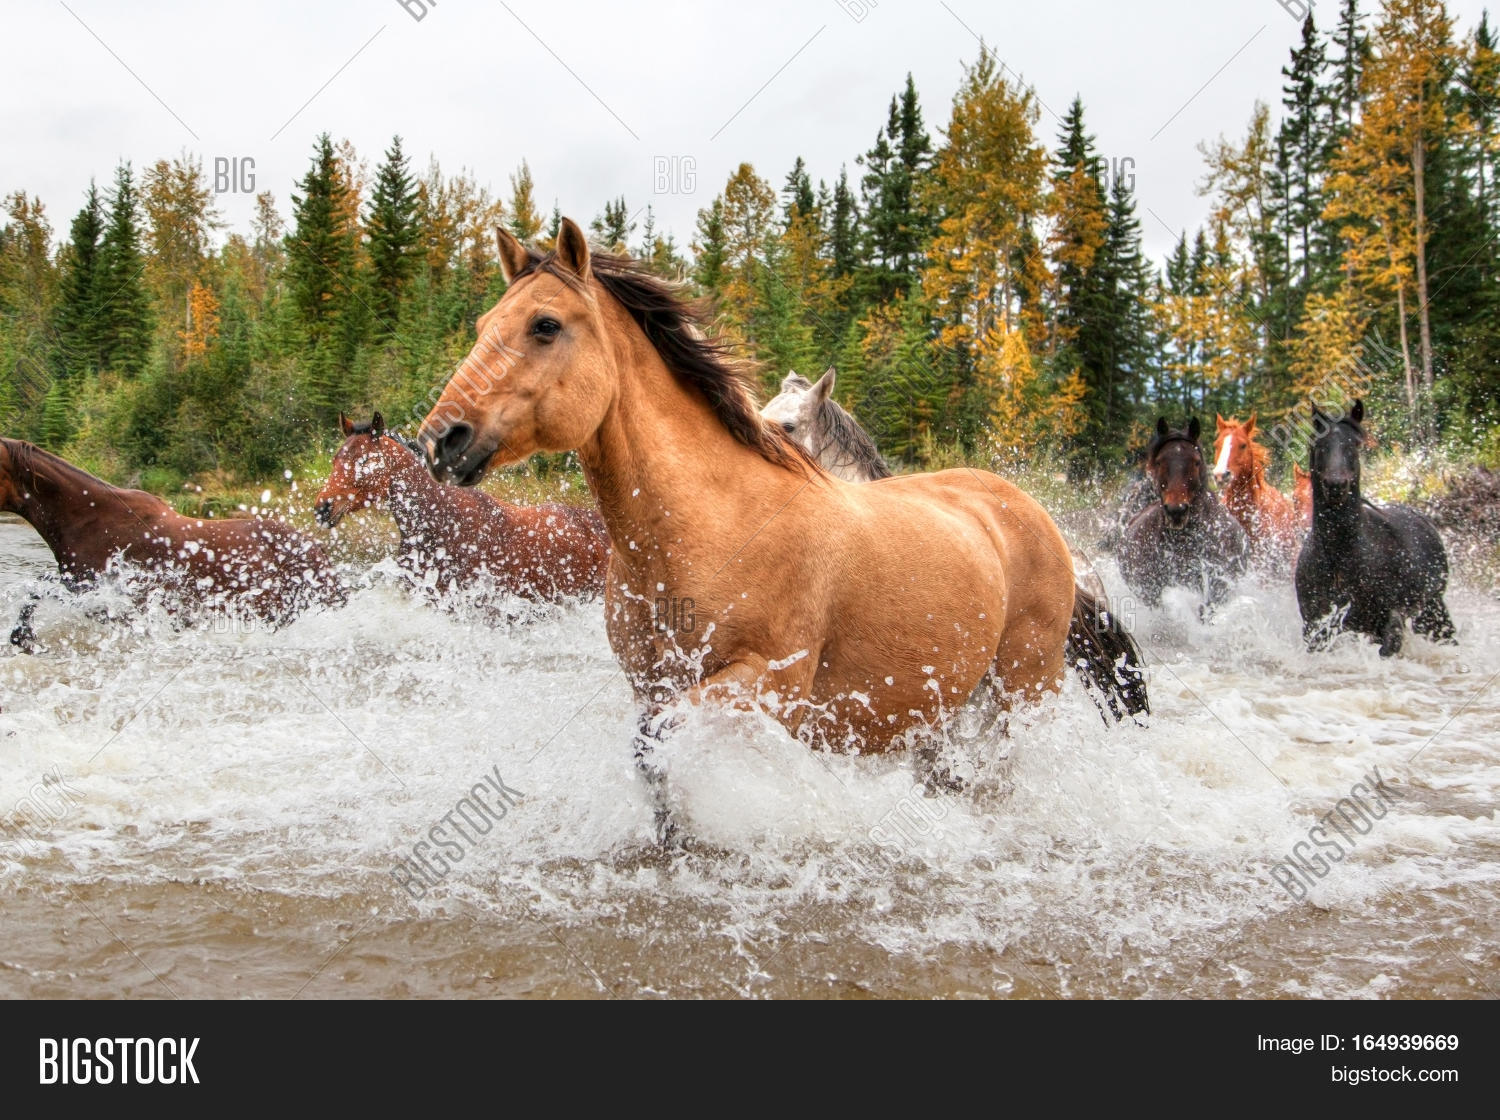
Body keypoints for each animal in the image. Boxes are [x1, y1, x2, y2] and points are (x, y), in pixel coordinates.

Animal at [1118, 418, 1249, 615]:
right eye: (1159, 462)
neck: (1185, 544)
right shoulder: (1152, 594)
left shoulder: (1217, 589)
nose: (1176, 510)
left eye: (1196, 462)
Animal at [1295, 400, 1454, 656]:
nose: (1336, 485)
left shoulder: (1388, 619)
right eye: (1319, 446)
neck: (1341, 556)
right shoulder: (1316, 625)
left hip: (1433, 607)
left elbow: (1389, 647)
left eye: (1354, 444)